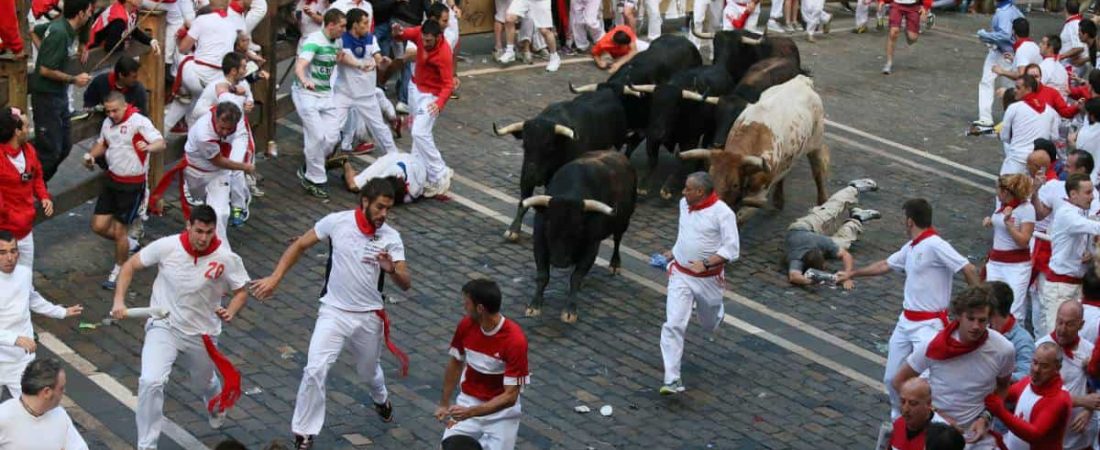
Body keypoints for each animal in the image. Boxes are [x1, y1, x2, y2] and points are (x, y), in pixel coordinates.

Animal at [499, 88, 629, 242]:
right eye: (524, 144)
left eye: (549, 146)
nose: (532, 176)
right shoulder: (525, 176)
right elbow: (523, 201)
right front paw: (513, 230)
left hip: (618, 144)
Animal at [523, 150, 638, 323]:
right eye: (549, 224)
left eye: (578, 228)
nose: (559, 261)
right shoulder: (540, 241)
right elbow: (543, 275)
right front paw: (534, 305)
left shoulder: (591, 247)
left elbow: (576, 277)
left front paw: (570, 310)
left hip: (623, 222)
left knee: (617, 239)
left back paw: (615, 264)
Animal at [677, 74, 827, 220]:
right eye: (711, 177)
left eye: (735, 184)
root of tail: (801, 80)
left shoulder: (758, 196)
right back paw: (779, 200)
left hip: (816, 143)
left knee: (818, 172)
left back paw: (822, 204)